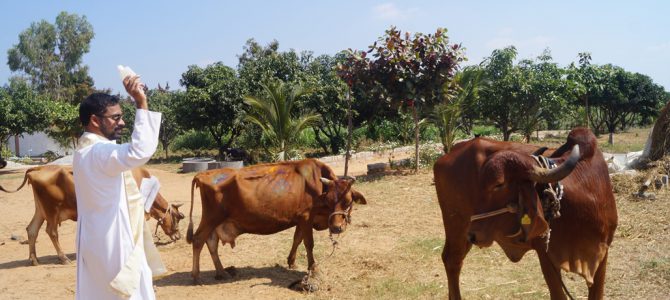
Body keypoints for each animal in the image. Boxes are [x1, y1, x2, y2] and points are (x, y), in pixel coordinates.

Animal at [0, 165, 185, 266]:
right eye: (177, 218)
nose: (178, 236)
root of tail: (39, 168)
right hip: (51, 210)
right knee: (51, 232)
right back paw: (63, 258)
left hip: (41, 210)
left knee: (32, 230)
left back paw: (34, 259)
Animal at [186, 159, 368, 284]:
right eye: (329, 201)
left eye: (348, 201)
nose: (336, 228)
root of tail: (203, 174)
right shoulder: (306, 217)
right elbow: (308, 243)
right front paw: (313, 267)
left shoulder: (300, 219)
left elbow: (297, 239)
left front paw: (291, 262)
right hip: (211, 218)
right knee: (198, 240)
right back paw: (196, 276)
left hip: (215, 222)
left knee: (211, 243)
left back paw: (221, 272)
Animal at [436, 127, 620, 298]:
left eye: (499, 184)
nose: (473, 234)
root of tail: (446, 156)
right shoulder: (546, 254)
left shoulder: (602, 252)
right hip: (457, 226)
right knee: (452, 261)